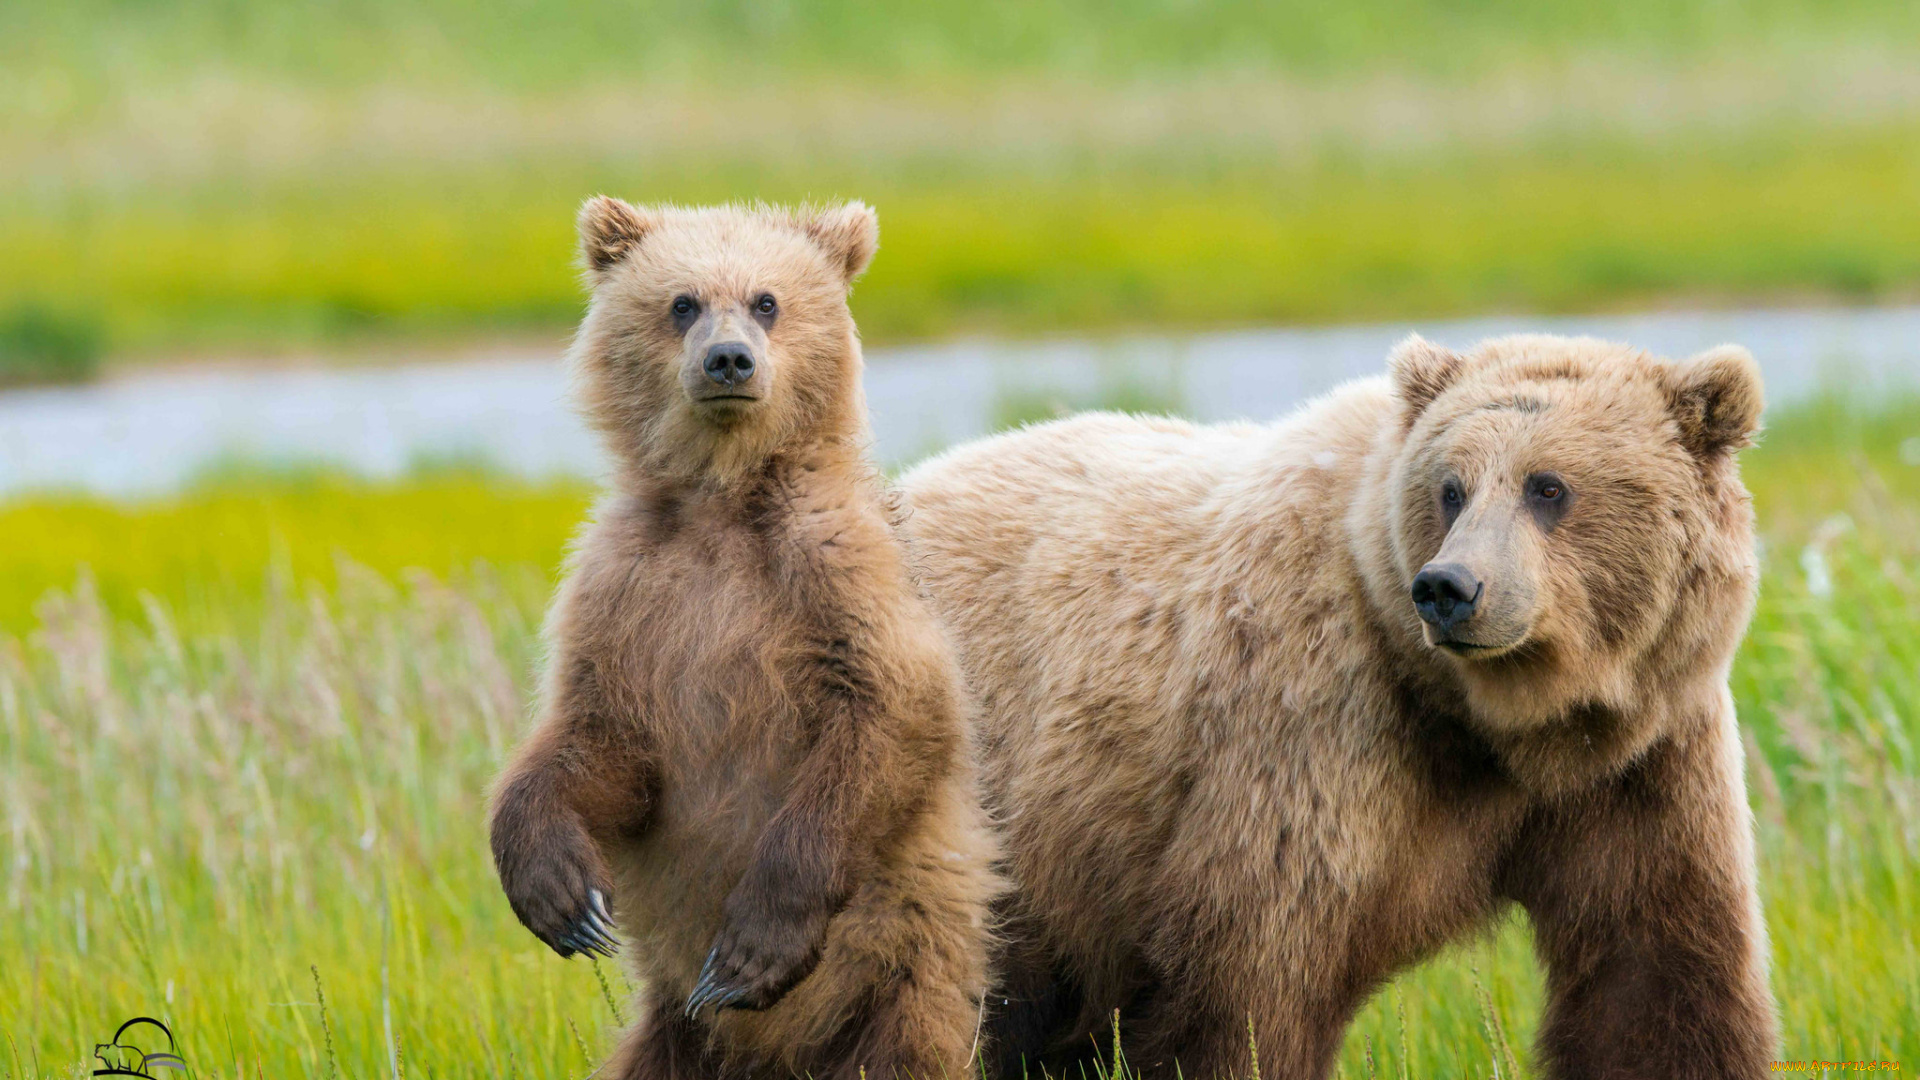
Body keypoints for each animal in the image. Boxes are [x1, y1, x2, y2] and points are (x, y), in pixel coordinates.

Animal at [491, 199, 1006, 1076]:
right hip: (673, 1031)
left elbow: (889, 719)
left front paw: (749, 951)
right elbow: (600, 736)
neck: (721, 500)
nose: (728, 360)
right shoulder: (625, 589)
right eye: (682, 303)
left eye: (767, 300)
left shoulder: (835, 576)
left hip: (903, 978)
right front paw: (562, 894)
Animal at [906, 334, 1774, 1076]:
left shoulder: (1643, 757)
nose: (1450, 588)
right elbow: (1247, 992)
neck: (1502, 726)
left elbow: (1656, 973)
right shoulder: (1310, 733)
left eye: (1548, 486)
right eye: (1451, 488)